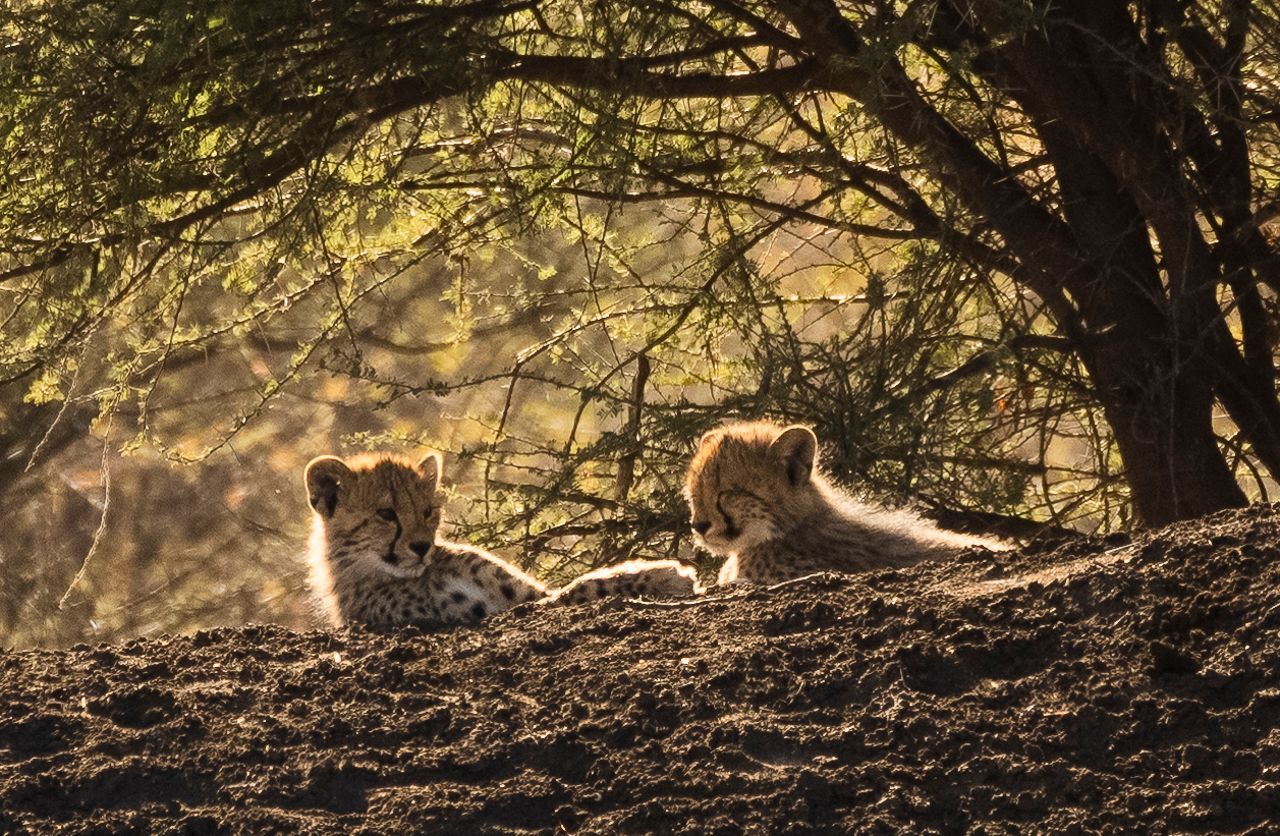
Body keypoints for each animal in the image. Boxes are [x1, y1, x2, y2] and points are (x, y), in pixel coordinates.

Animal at [305, 452, 698, 628]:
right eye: (386, 513)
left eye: (428, 511)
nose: (421, 547)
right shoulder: (488, 613)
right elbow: (573, 591)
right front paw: (667, 575)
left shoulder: (524, 596)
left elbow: (577, 584)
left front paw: (654, 572)